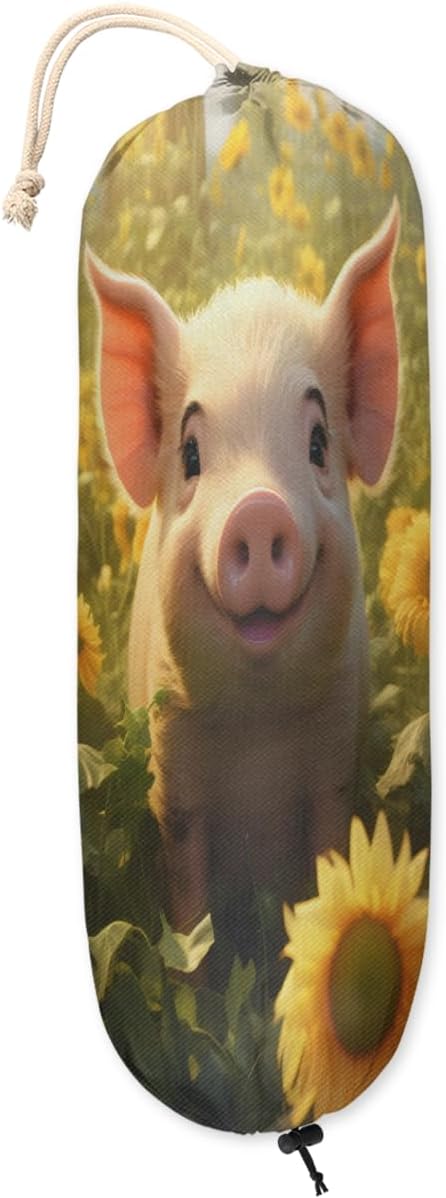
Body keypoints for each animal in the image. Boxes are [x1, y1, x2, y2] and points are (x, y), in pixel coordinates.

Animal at [85, 196, 401, 963]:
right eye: (192, 455)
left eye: (317, 443)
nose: (258, 509)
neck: (259, 726)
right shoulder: (172, 771)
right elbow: (189, 910)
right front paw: (196, 972)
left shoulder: (334, 758)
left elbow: (328, 866)